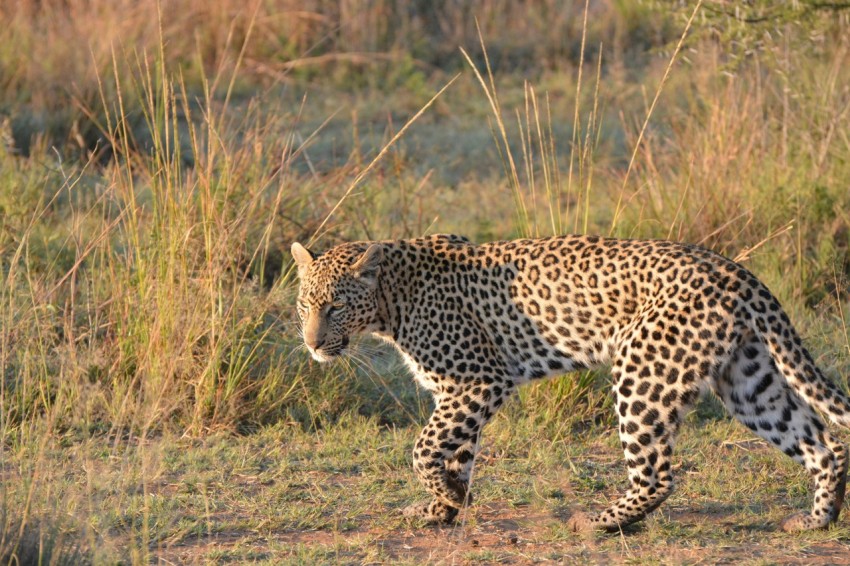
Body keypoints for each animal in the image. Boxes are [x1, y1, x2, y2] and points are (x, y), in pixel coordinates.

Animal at [290, 233, 850, 533]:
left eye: (334, 306)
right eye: (303, 305)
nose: (312, 344)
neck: (389, 302)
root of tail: (736, 271)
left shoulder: (479, 380)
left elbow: (424, 448)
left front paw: (446, 497)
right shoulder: (460, 392)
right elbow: (457, 454)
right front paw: (446, 507)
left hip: (642, 373)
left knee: (658, 475)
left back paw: (600, 523)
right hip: (747, 380)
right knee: (823, 443)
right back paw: (817, 520)